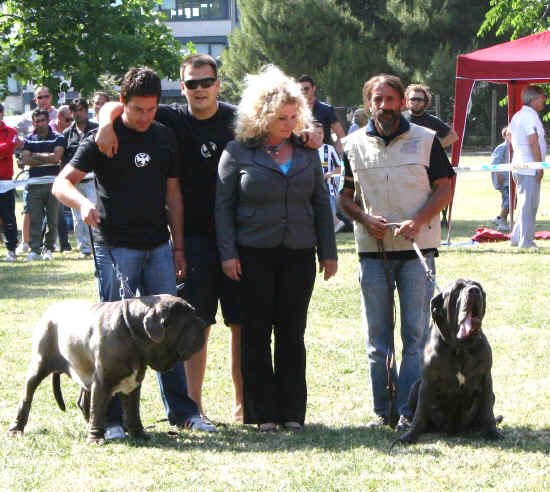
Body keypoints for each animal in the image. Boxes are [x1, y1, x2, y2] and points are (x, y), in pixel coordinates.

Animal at [8, 294, 207, 444]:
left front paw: (139, 434)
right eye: (189, 320)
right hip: (38, 365)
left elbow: (133, 412)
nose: (203, 322)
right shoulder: (102, 382)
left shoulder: (133, 384)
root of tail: (51, 309)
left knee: (83, 401)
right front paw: (96, 438)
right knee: (26, 399)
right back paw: (16, 429)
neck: (132, 333)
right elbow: (98, 409)